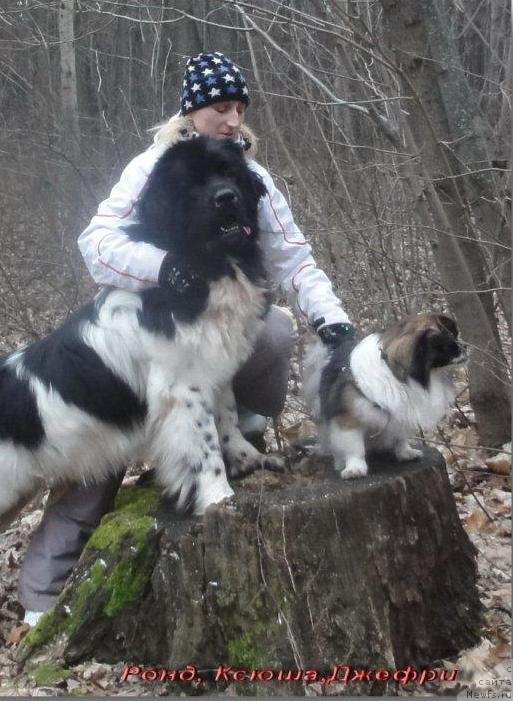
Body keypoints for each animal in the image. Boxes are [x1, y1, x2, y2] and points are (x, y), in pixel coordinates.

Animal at [0, 135, 284, 524]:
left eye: (229, 172)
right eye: (191, 185)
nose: (226, 197)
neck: (211, 264)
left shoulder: (214, 369)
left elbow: (226, 418)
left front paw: (247, 459)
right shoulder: (181, 388)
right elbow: (204, 444)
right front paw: (218, 498)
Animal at [302, 314, 466, 478]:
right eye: (449, 340)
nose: (465, 346)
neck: (395, 373)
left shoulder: (400, 414)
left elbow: (400, 438)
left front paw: (405, 453)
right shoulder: (348, 420)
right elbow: (355, 448)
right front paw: (355, 468)